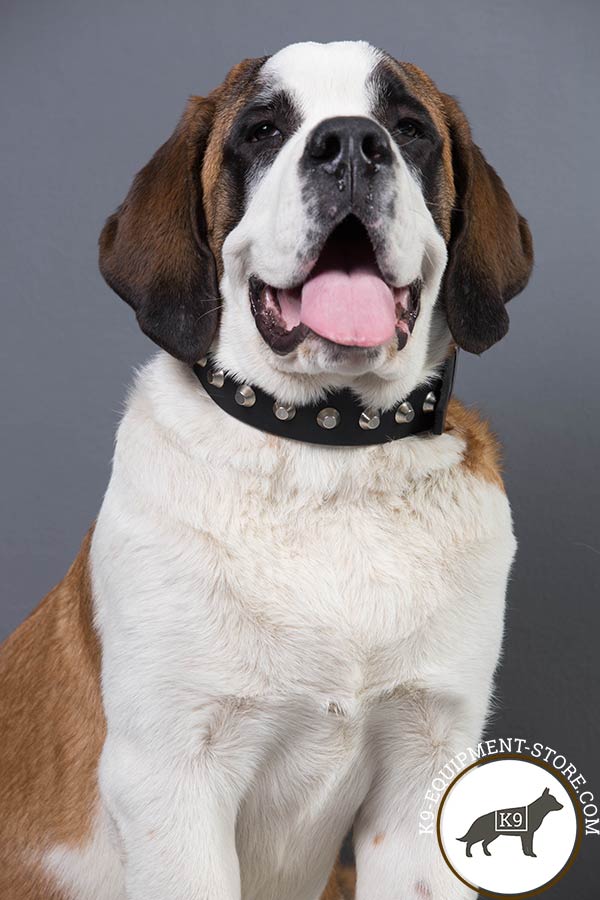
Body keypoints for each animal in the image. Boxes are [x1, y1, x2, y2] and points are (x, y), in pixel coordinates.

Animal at [1, 38, 536, 896]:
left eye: (408, 129)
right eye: (262, 130)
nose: (350, 144)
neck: (328, 455)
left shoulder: (424, 762)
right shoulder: (173, 776)